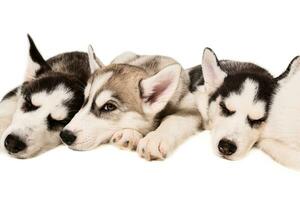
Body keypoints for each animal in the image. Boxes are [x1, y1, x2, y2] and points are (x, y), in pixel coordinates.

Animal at [60, 47, 202, 161]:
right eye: (85, 100)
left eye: (109, 107)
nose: (65, 135)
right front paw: (129, 133)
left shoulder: (191, 108)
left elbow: (173, 119)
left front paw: (154, 139)